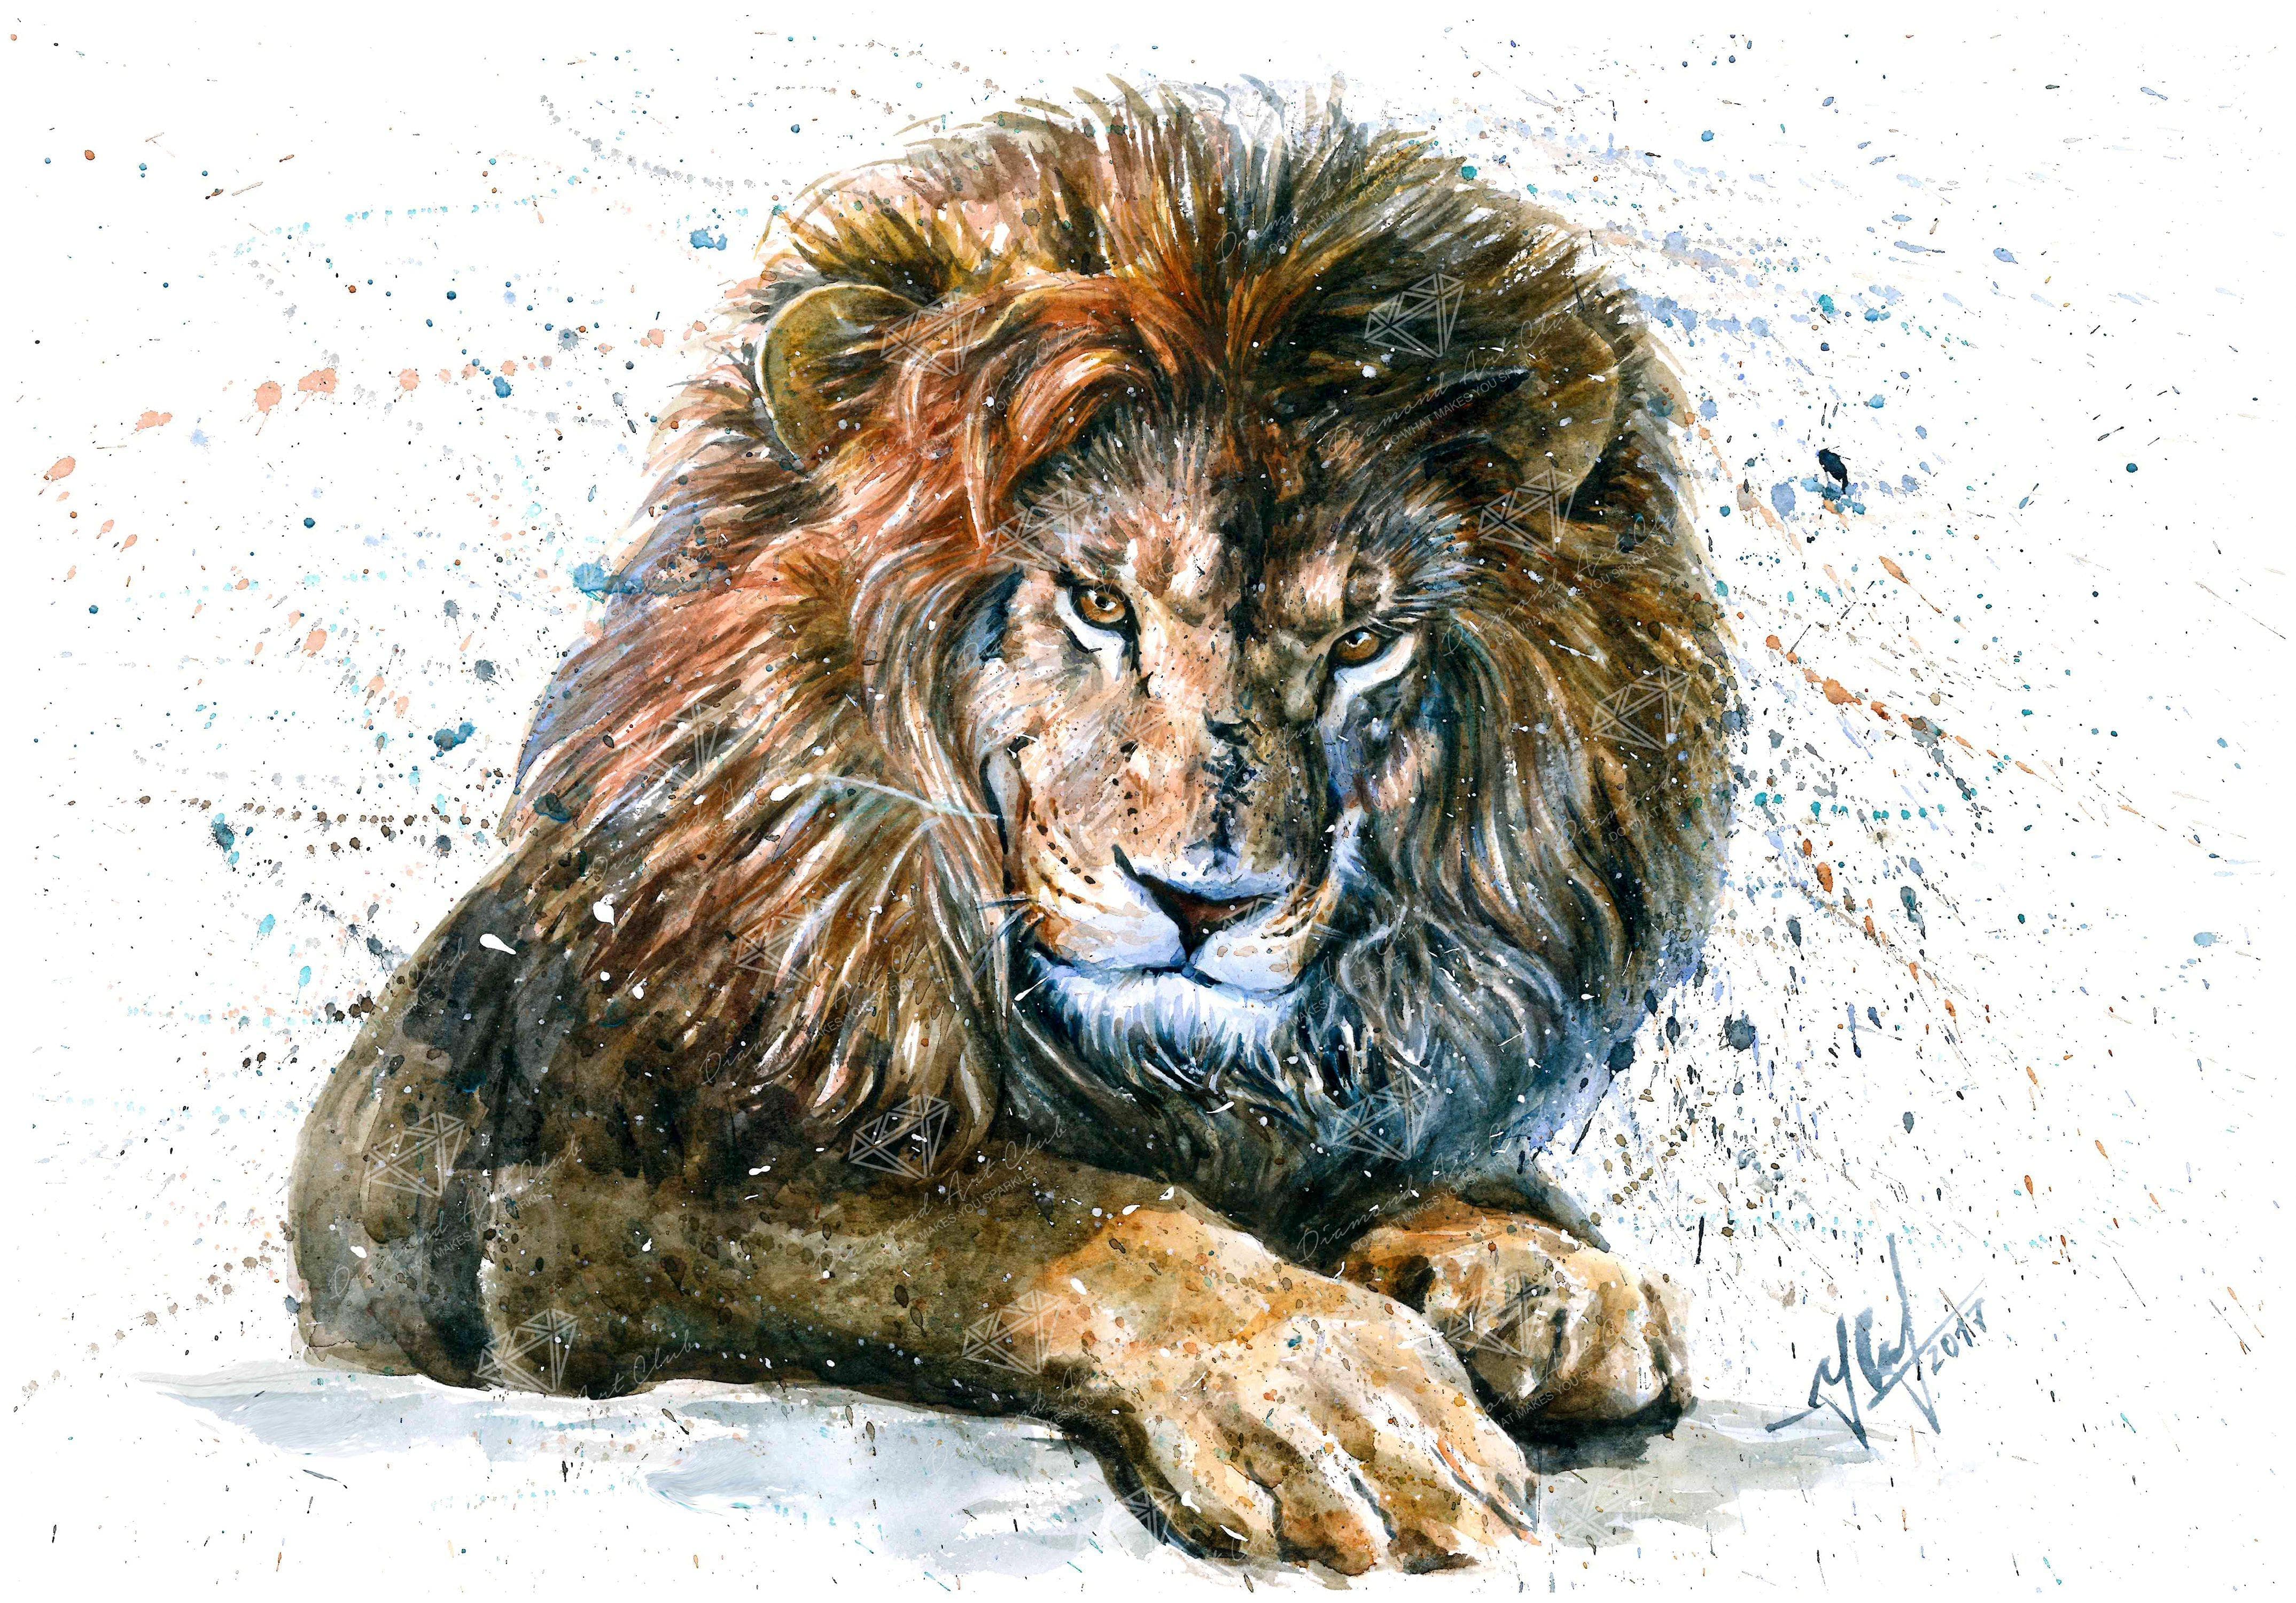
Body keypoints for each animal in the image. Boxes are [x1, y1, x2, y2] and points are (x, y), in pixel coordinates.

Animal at [289, 84, 1735, 1573]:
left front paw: (1533, 1270)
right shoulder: (557, 1209)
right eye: (1096, 603)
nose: (1202, 903)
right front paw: (1325, 1387)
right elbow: (1047, 1214)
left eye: (1363, 644)